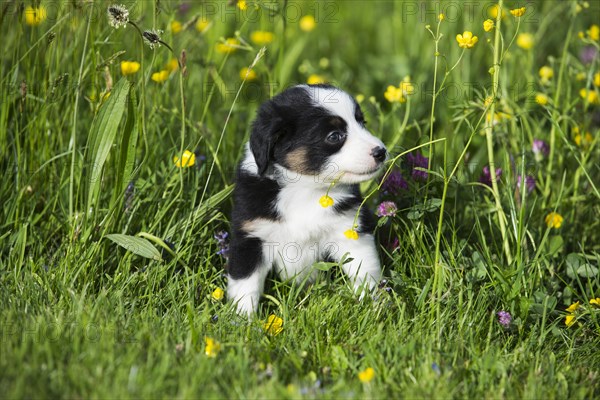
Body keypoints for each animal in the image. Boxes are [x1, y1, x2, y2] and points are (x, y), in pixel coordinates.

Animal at [227, 83, 386, 316]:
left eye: (362, 122)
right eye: (334, 136)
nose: (381, 151)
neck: (304, 188)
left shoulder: (349, 230)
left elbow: (366, 271)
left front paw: (375, 308)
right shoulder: (251, 236)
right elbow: (246, 286)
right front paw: (243, 319)